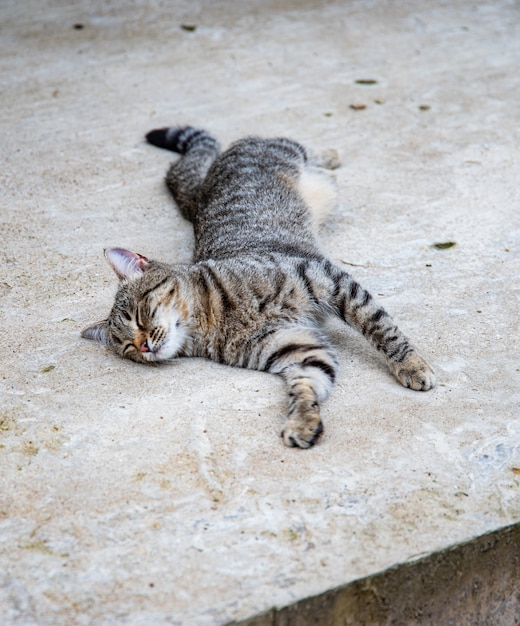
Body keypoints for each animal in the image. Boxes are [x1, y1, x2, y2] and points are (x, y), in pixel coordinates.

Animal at [82, 127, 434, 446]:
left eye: (139, 315)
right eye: (126, 348)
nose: (142, 346)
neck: (211, 320)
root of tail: (205, 184)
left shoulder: (325, 279)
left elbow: (381, 327)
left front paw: (411, 364)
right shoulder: (298, 348)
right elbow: (307, 384)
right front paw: (301, 421)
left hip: (282, 149)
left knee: (300, 146)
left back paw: (330, 154)